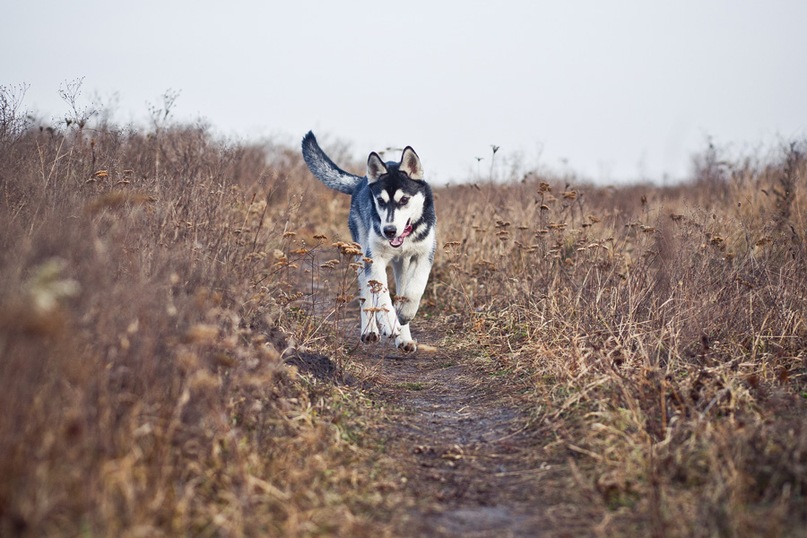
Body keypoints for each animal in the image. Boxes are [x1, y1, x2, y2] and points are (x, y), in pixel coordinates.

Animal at [302, 132, 438, 352]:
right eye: (381, 201)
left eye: (404, 200)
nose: (389, 231)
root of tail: (362, 181)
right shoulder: (375, 259)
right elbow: (381, 295)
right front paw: (388, 323)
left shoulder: (424, 254)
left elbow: (415, 288)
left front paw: (405, 313)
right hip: (362, 255)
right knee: (366, 293)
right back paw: (371, 330)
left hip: (401, 264)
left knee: (401, 288)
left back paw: (404, 337)